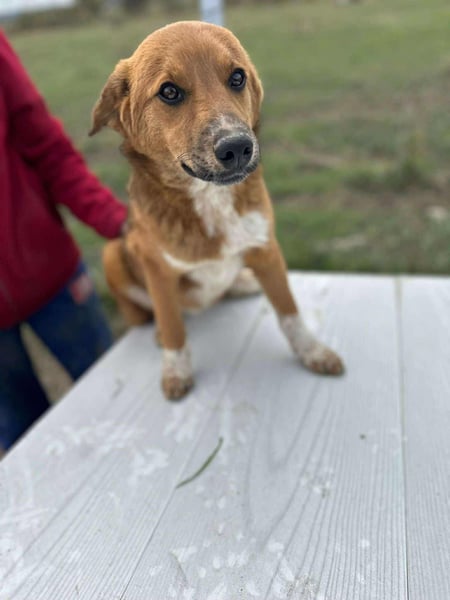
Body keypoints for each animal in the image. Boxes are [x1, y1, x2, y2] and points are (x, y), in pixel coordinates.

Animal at [90, 21, 344, 399]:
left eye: (237, 77)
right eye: (169, 91)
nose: (237, 147)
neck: (210, 199)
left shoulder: (267, 248)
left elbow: (289, 312)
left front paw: (312, 351)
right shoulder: (154, 266)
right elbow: (172, 322)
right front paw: (176, 369)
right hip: (113, 253)